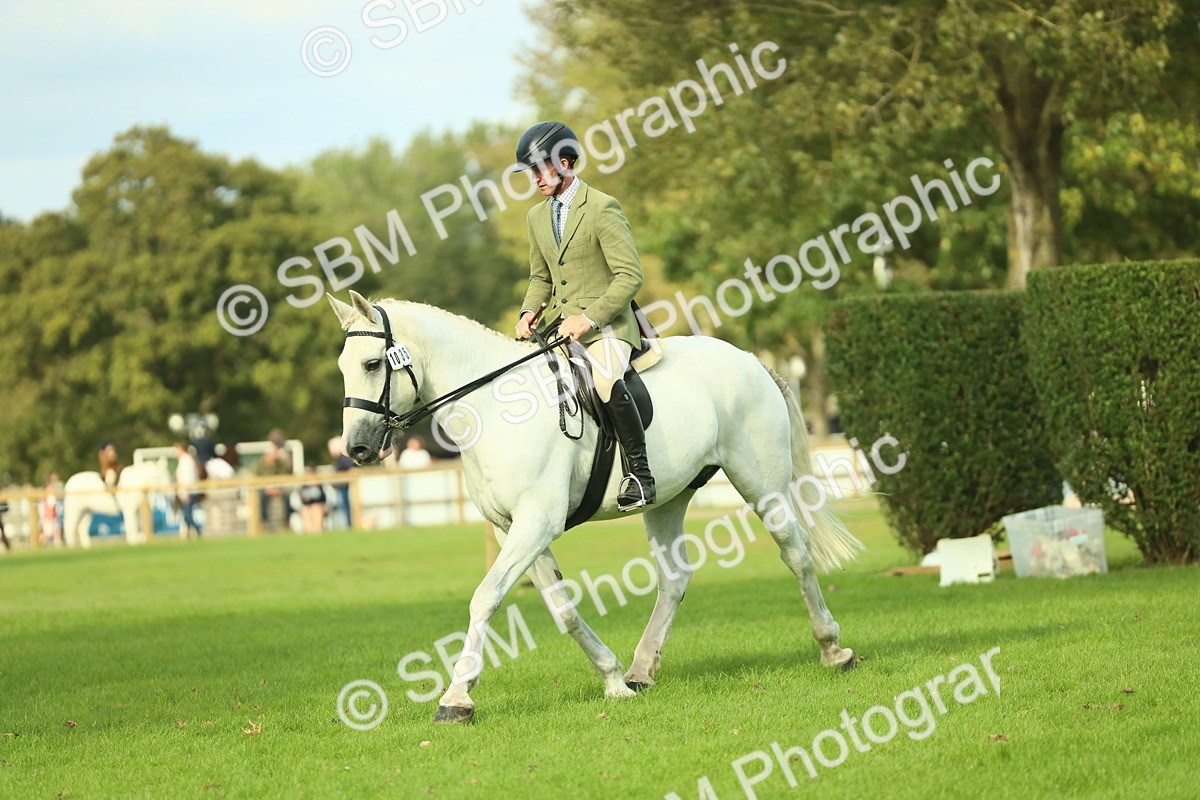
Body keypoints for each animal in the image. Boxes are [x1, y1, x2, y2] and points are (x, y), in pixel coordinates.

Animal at [329, 290, 864, 723]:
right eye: (342, 367)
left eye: (373, 364)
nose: (356, 448)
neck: (494, 408)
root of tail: (751, 360)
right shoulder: (512, 528)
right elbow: (561, 608)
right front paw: (612, 679)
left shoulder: (536, 523)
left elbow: (485, 598)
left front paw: (456, 699)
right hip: (668, 498)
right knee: (675, 578)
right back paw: (641, 670)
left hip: (761, 483)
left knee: (795, 552)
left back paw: (833, 649)